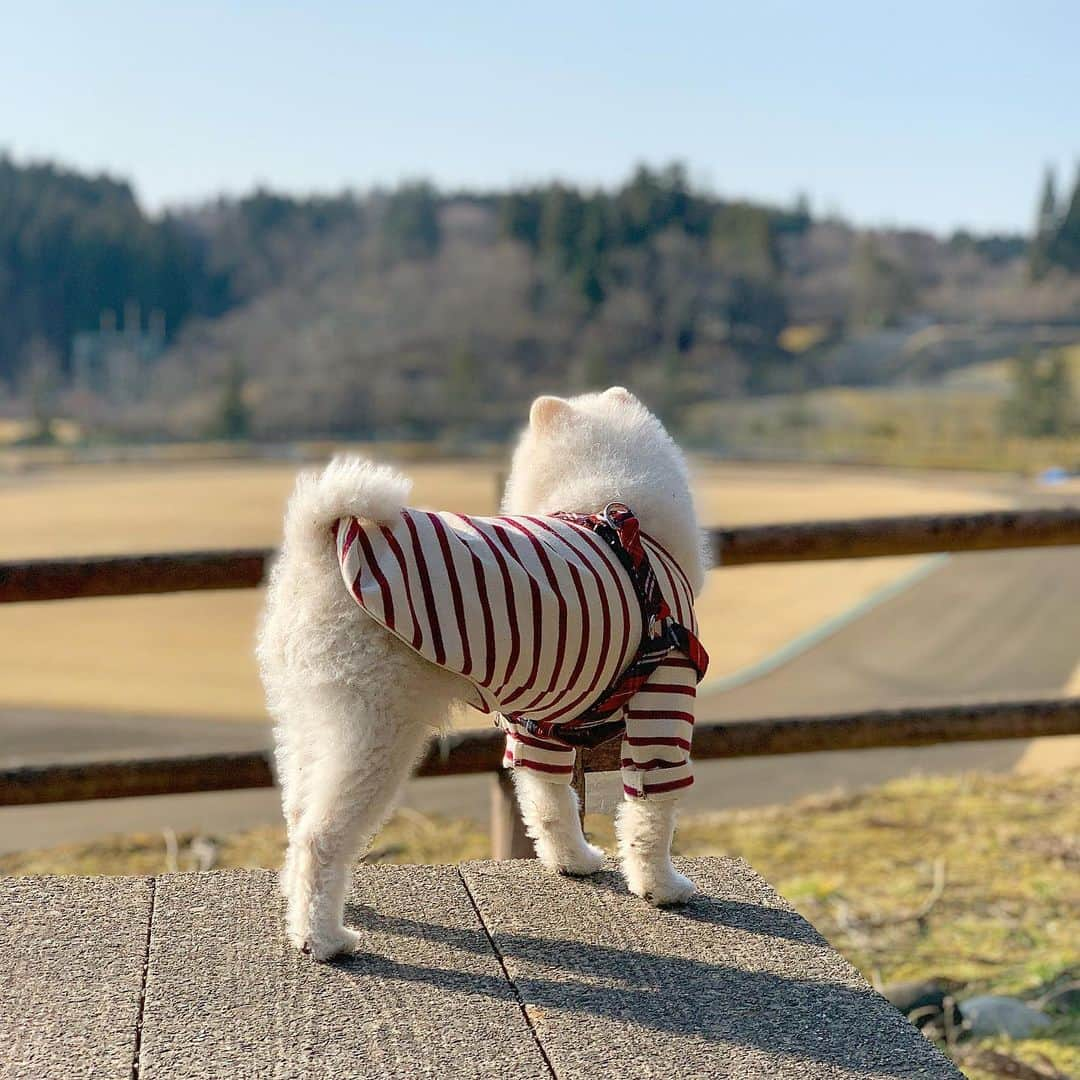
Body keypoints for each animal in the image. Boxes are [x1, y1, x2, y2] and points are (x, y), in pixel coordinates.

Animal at [257, 390, 712, 963]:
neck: (610, 512)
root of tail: (323, 543)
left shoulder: (540, 720)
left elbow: (549, 800)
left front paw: (573, 860)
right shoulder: (665, 694)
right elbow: (651, 814)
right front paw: (660, 887)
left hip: (306, 721)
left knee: (298, 818)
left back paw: (300, 908)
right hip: (376, 730)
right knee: (321, 837)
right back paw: (323, 939)